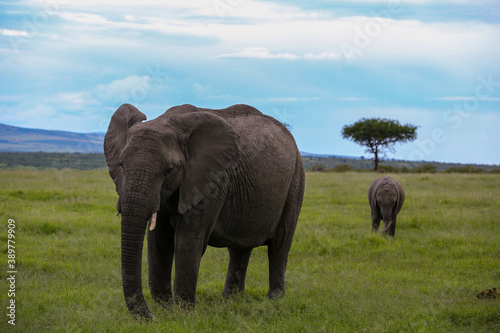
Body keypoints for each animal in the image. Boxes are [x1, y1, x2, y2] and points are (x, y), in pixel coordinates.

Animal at [103, 104, 302, 320]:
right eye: (121, 165)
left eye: (169, 170)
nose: (151, 318)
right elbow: (159, 241)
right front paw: (166, 306)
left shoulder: (212, 181)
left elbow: (189, 239)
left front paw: (183, 311)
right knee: (239, 249)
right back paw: (231, 300)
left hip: (295, 180)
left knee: (279, 245)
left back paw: (275, 300)